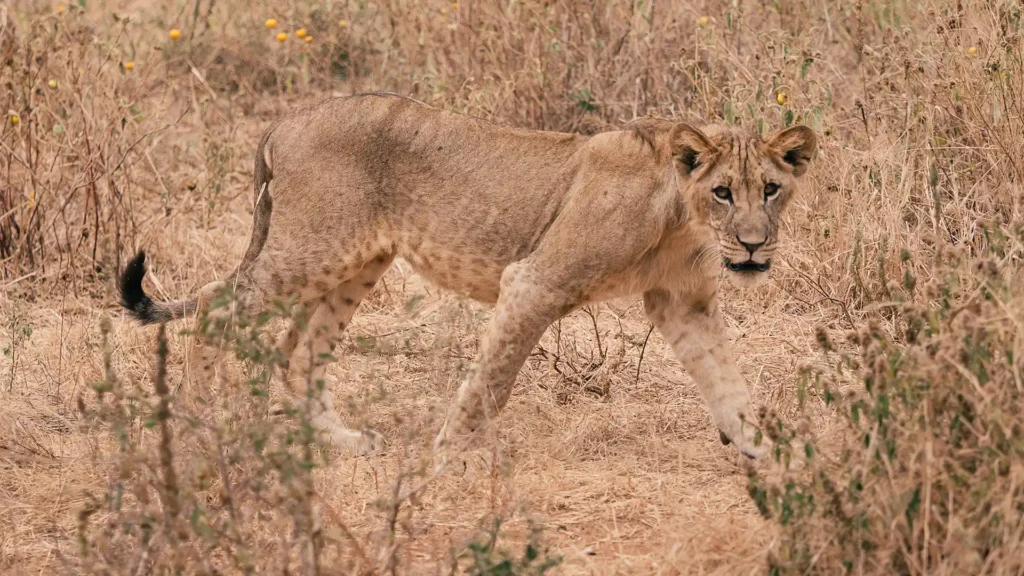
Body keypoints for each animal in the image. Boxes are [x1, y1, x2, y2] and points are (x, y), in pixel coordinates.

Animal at [117, 91, 815, 463]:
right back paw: (199, 425)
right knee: (217, 304)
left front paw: (771, 454)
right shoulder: (535, 282)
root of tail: (284, 121)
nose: (753, 247)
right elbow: (490, 383)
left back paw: (342, 441)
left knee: (299, 351)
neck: (683, 216)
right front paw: (445, 461)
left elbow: (728, 381)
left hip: (355, 265)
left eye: (771, 190)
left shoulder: (684, 303)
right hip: (311, 248)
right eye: (723, 192)